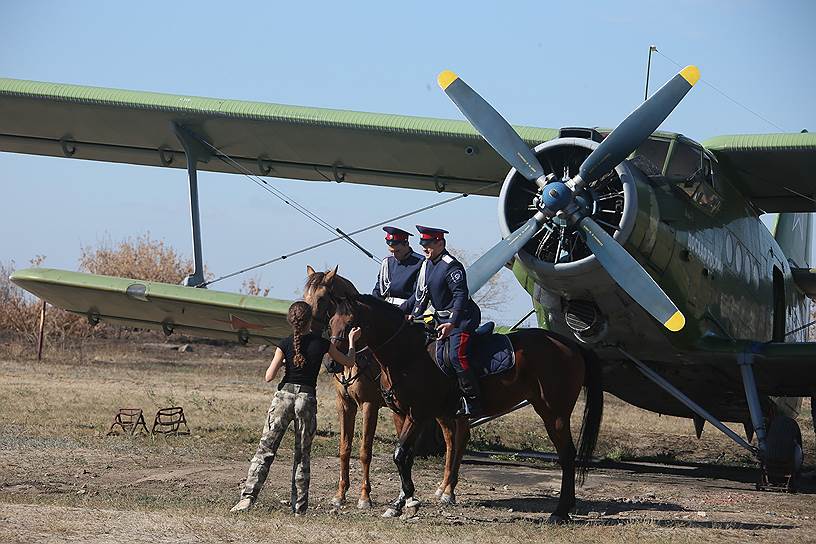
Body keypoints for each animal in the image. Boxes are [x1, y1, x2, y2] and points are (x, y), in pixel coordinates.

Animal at [328, 296, 604, 524]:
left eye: (351, 323)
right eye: (330, 321)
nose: (332, 364)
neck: (408, 355)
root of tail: (570, 345)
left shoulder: (418, 413)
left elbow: (399, 454)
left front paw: (409, 501)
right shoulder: (402, 413)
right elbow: (403, 457)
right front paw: (400, 502)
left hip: (554, 414)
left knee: (567, 455)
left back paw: (560, 512)